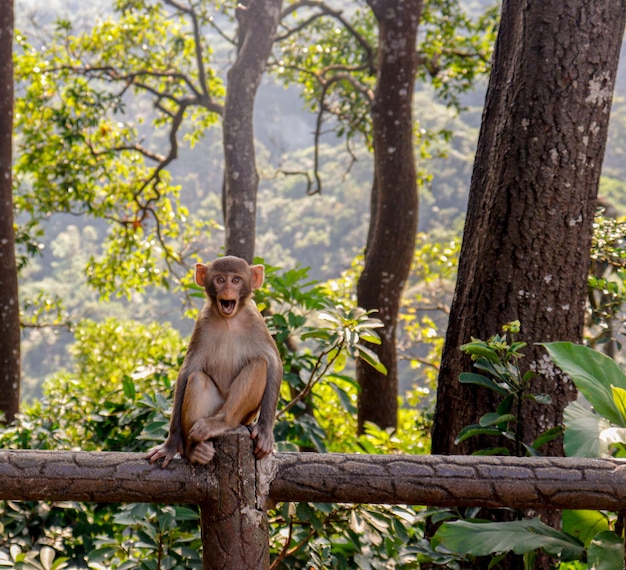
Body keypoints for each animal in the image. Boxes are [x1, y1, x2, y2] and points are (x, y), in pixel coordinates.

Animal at [145, 255, 282, 464]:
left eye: (236, 280)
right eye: (220, 279)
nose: (227, 291)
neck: (229, 320)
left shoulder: (256, 321)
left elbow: (273, 362)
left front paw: (265, 432)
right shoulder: (202, 324)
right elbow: (188, 371)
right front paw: (171, 444)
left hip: (244, 416)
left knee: (259, 364)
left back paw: (222, 422)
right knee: (197, 378)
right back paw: (195, 451)